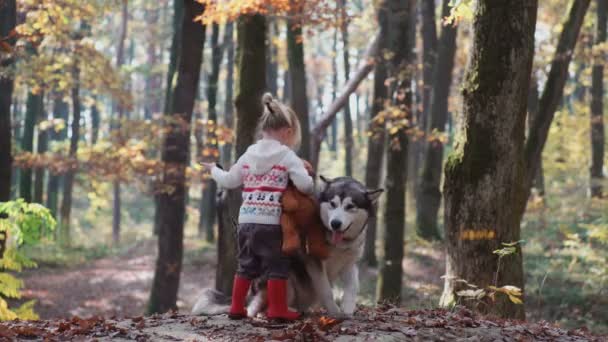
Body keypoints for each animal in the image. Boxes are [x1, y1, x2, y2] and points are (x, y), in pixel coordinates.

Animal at [192, 176, 382, 318]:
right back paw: (283, 311)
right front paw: (335, 313)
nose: (335, 223)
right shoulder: (313, 261)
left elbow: (353, 286)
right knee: (256, 310)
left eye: (350, 206)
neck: (338, 244)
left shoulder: (349, 263)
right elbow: (326, 290)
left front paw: (348, 309)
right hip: (284, 275)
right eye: (333, 204)